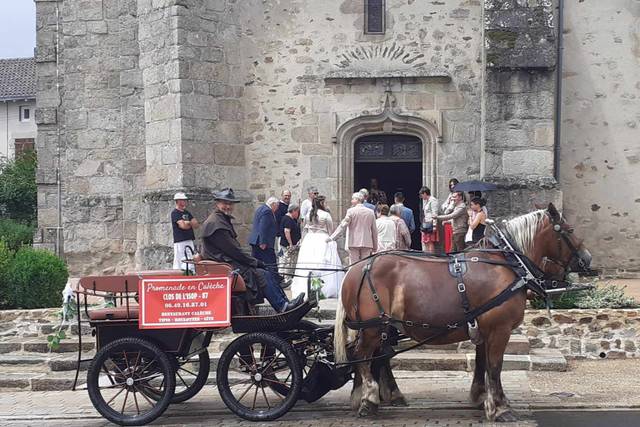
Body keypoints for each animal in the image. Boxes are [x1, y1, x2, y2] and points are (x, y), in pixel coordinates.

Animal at [336, 206, 592, 422]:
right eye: (569, 230)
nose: (587, 258)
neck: (508, 262)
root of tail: (356, 268)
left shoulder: (485, 328)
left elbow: (482, 363)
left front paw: (481, 398)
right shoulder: (499, 329)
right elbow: (495, 366)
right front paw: (500, 408)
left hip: (383, 326)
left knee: (378, 355)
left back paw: (377, 396)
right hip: (372, 326)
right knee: (363, 356)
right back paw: (369, 399)